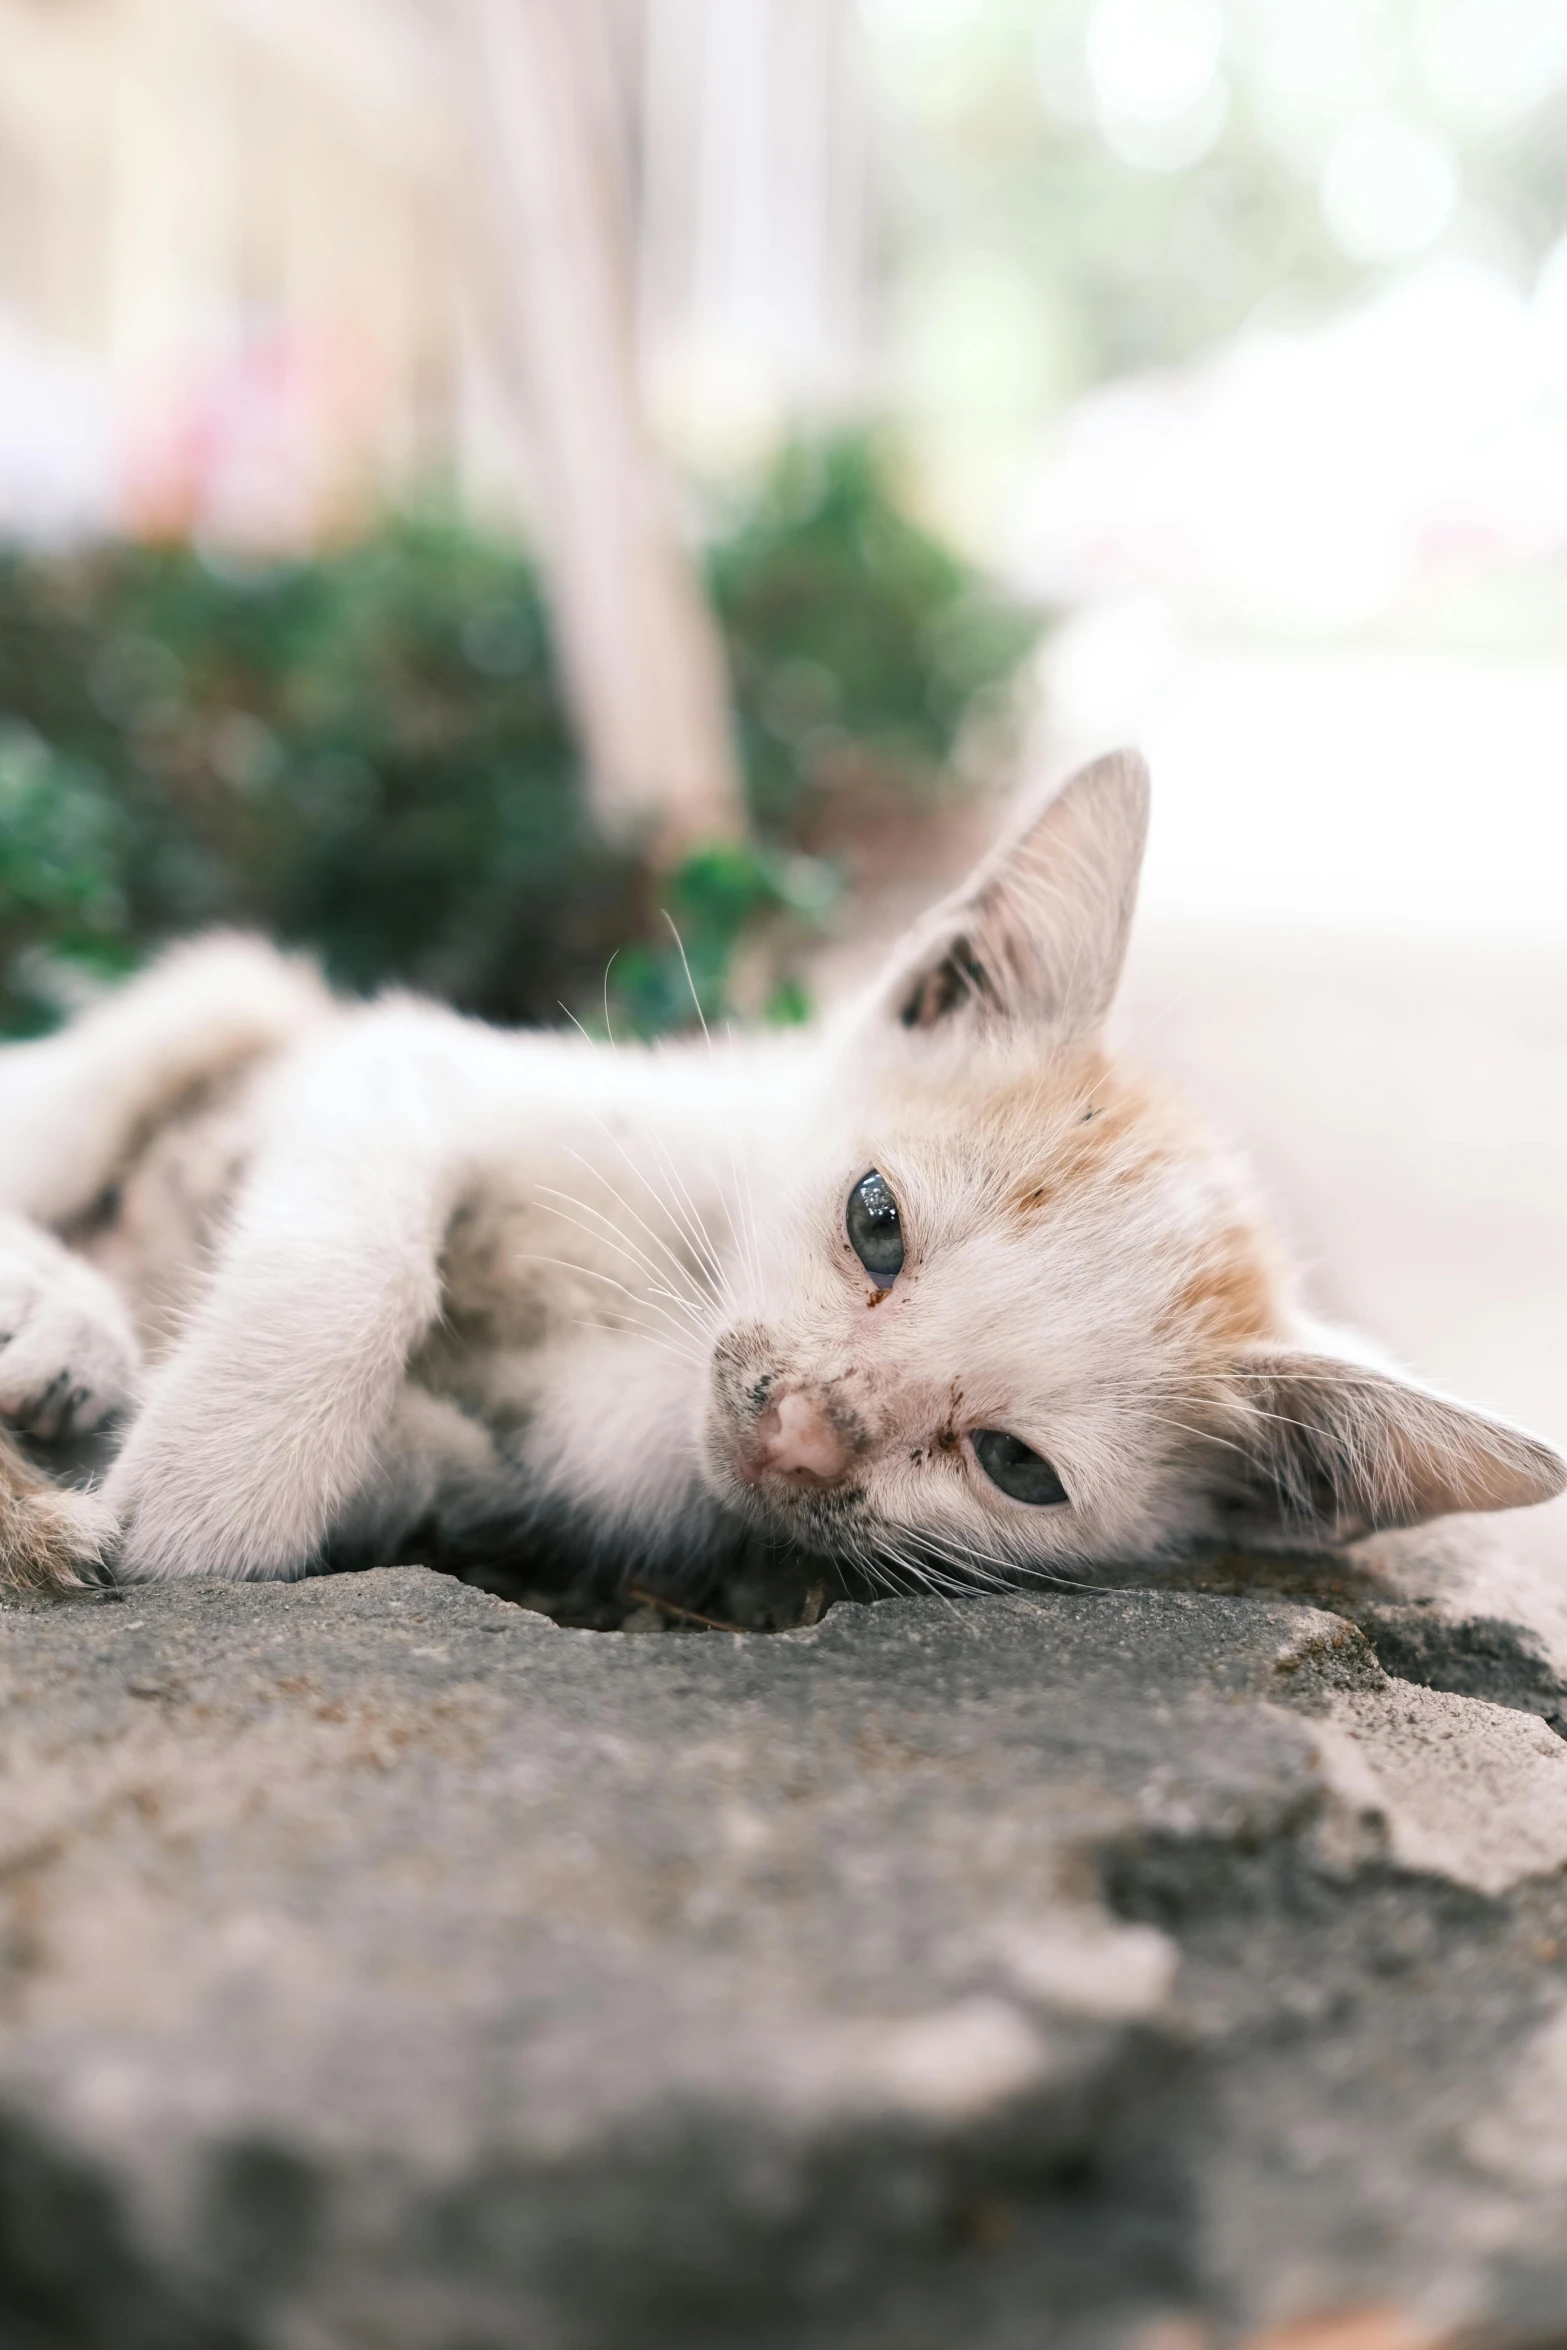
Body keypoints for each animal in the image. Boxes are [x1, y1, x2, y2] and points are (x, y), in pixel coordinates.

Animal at [3, 752, 1567, 1597]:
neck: (656, 1317)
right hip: (229, 991)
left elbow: (438, 1461)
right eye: (874, 1225)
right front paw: (219, 1491)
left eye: (1014, 1466)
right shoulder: (410, 1058)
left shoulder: (578, 1475)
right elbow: (357, 1251)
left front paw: (226, 1482)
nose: (804, 1429)